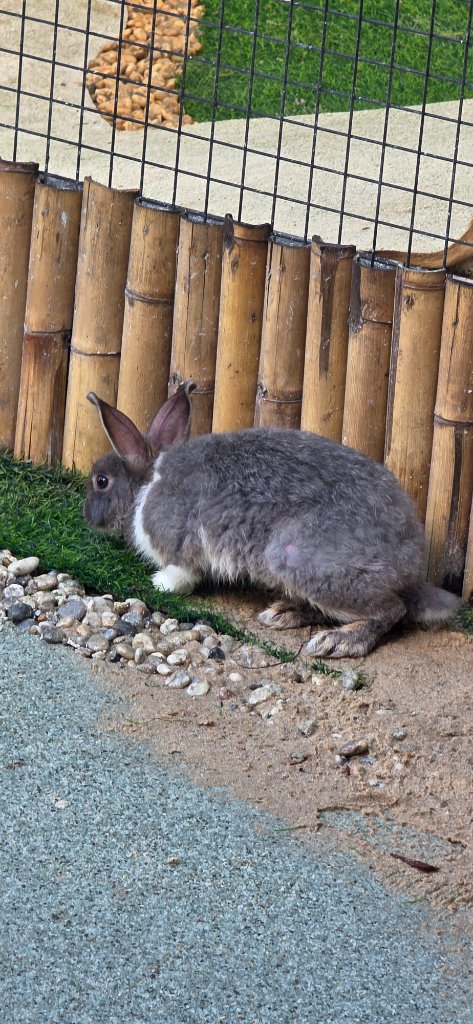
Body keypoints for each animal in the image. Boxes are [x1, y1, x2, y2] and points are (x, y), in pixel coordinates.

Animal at [84, 381, 460, 658]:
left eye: (102, 481)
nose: (87, 516)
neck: (147, 484)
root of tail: (410, 565)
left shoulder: (178, 547)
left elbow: (182, 576)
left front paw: (159, 583)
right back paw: (283, 613)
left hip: (296, 559)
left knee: (391, 610)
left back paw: (337, 641)